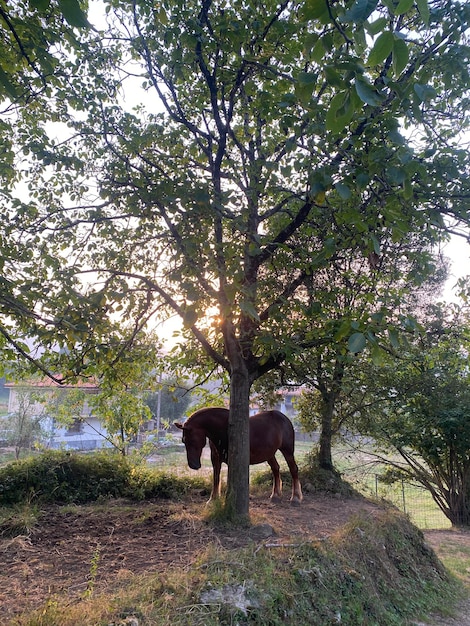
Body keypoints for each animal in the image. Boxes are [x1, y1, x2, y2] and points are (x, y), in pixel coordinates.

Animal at [174, 408, 302, 504]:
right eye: (183, 440)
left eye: (190, 440)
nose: (193, 465)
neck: (223, 429)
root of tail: (284, 418)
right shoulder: (215, 459)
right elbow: (216, 478)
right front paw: (212, 500)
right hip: (270, 454)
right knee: (276, 469)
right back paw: (275, 495)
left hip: (287, 450)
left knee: (293, 469)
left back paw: (295, 498)